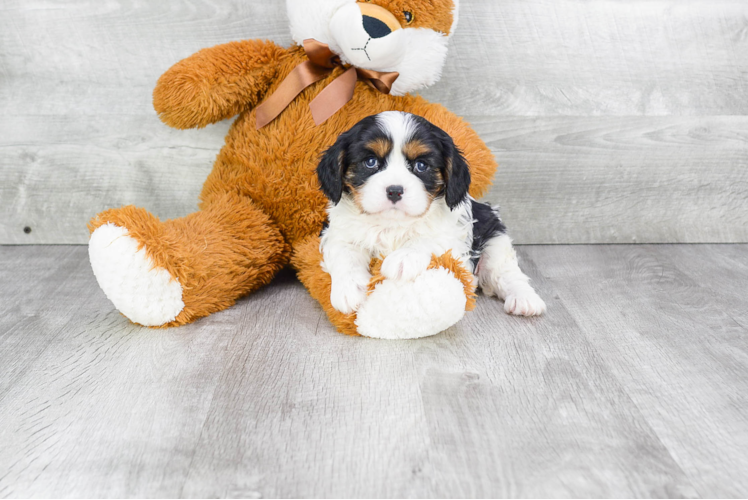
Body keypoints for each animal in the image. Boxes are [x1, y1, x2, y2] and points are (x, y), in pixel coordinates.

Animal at [314, 112, 544, 318]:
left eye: (421, 165)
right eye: (370, 162)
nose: (394, 190)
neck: (392, 224)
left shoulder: (453, 234)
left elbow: (427, 239)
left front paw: (403, 258)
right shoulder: (338, 233)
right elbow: (346, 254)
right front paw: (349, 290)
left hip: (495, 237)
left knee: (505, 273)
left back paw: (525, 300)